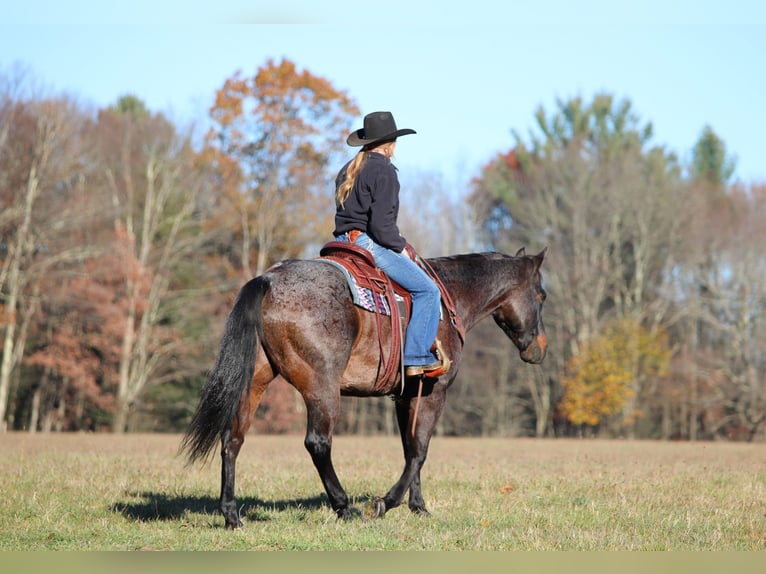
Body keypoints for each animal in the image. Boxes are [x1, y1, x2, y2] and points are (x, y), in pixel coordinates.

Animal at [180, 246, 548, 529]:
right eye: (542, 295)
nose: (539, 348)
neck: (449, 297)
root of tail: (268, 280)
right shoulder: (434, 392)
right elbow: (420, 450)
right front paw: (388, 502)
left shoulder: (405, 396)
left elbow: (409, 448)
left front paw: (418, 506)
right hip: (322, 389)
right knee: (318, 443)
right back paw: (344, 507)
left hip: (254, 382)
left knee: (233, 439)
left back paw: (232, 516)